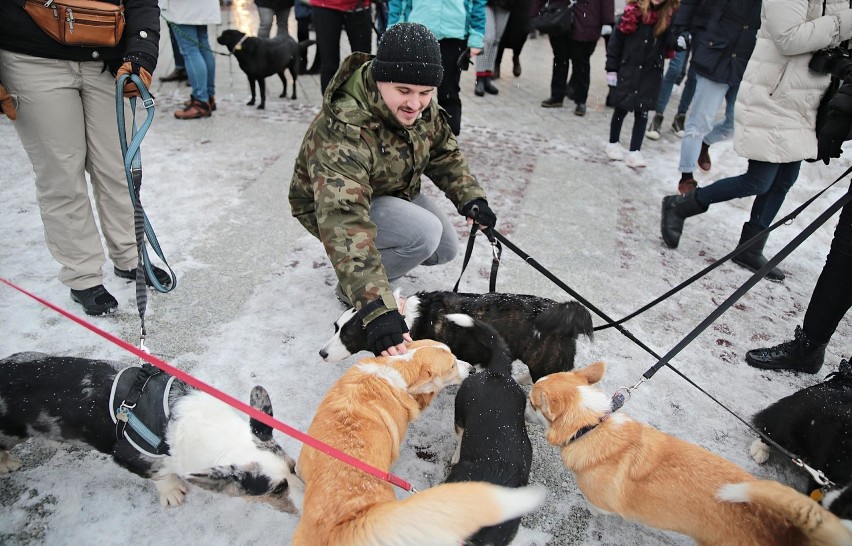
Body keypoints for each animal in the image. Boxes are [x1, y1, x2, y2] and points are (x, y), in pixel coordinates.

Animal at [0, 352, 304, 510]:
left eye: (295, 466)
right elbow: (160, 474)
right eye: (277, 490)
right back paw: (8, 464)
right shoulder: (129, 456)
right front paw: (173, 494)